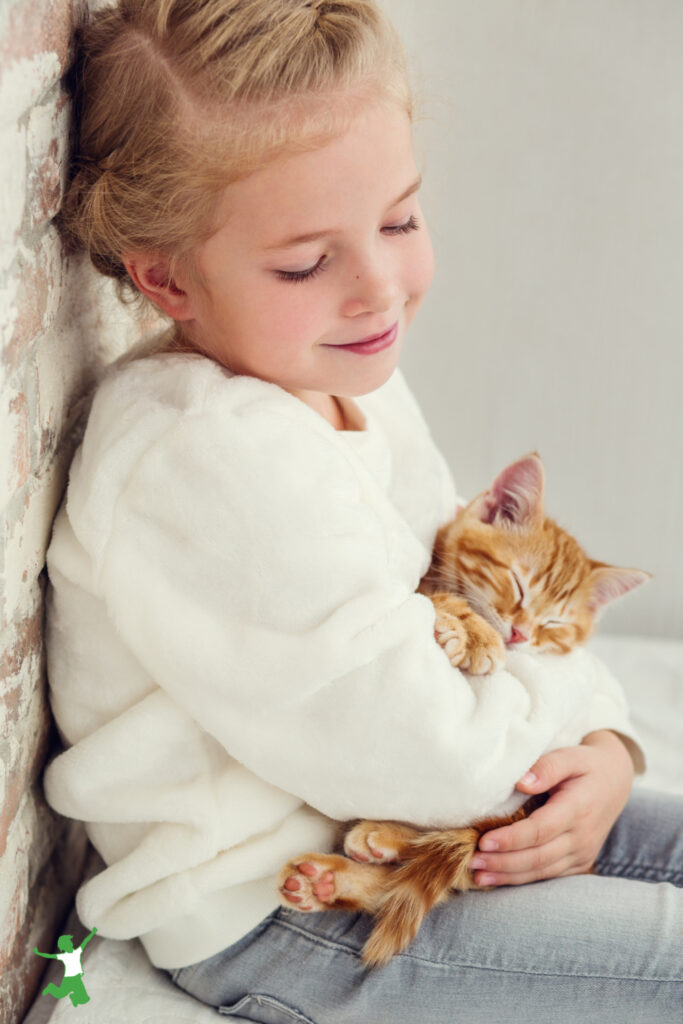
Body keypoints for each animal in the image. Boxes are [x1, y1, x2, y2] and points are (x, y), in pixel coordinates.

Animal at [276, 456, 647, 966]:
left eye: (555, 623)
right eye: (518, 584)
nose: (520, 634)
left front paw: (476, 634)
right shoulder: (421, 592)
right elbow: (434, 600)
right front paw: (474, 631)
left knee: (470, 854)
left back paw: (360, 857)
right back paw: (334, 876)